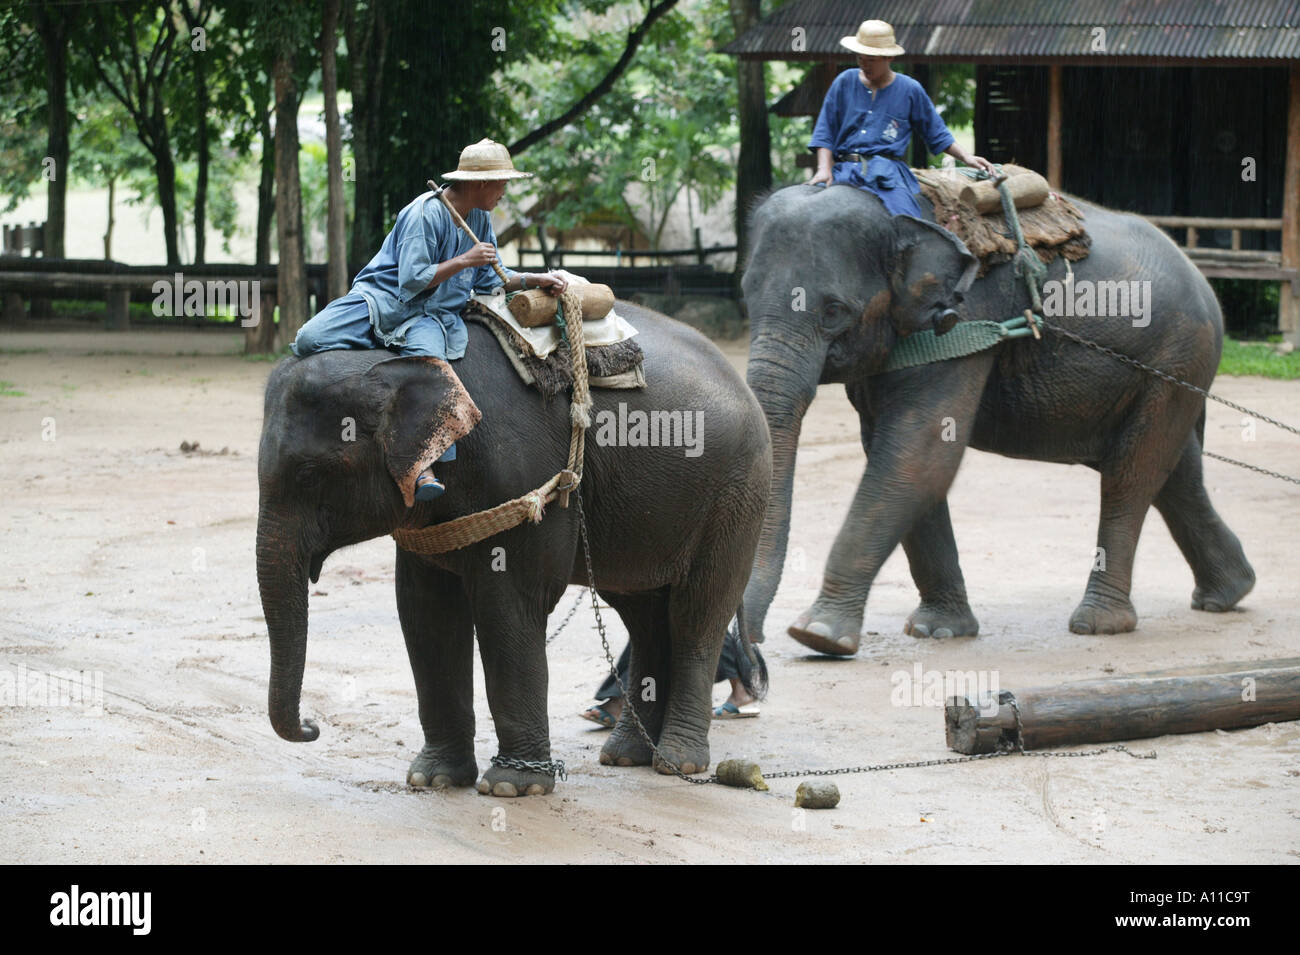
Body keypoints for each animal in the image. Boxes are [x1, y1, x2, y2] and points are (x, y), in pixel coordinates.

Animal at [256, 303, 770, 795]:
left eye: (309, 476)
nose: (312, 726)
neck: (398, 362)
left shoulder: (527, 475)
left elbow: (511, 604)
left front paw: (511, 787)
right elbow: (425, 612)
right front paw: (434, 780)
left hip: (735, 497)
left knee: (696, 615)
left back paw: (677, 762)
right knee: (644, 614)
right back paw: (626, 755)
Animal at [739, 183, 1255, 654]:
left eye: (833, 310)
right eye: (745, 296)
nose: (754, 642)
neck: (897, 214)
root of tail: (1199, 275)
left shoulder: (961, 321)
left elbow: (919, 454)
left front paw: (818, 635)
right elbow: (903, 457)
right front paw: (937, 632)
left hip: (1177, 356)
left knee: (1131, 474)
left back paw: (1099, 625)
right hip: (1168, 370)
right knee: (1175, 471)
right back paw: (1228, 594)